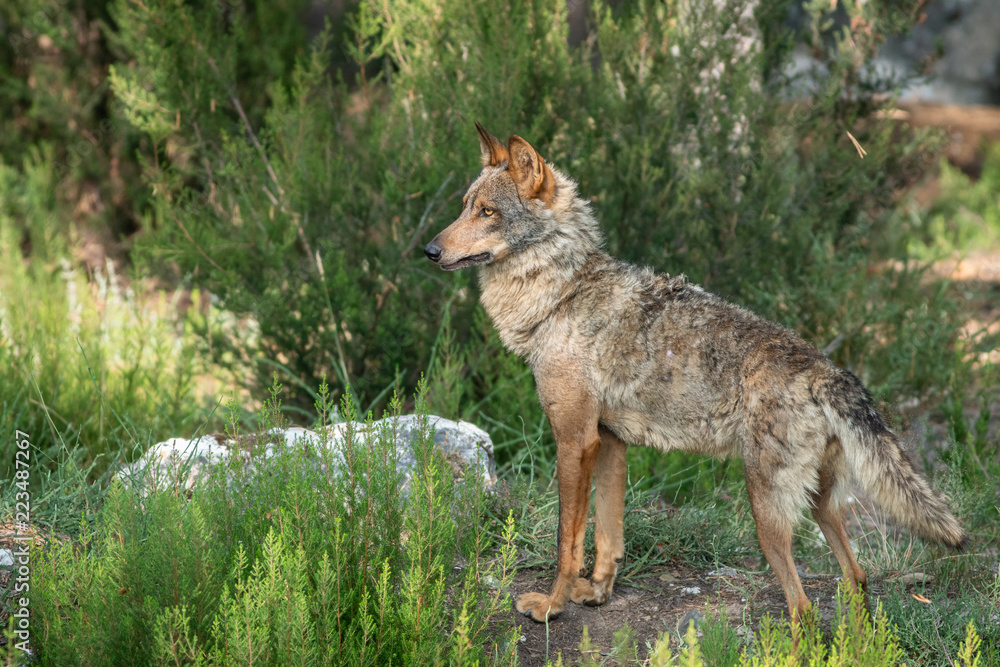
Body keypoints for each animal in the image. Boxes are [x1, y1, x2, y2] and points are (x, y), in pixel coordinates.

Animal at [424, 122, 968, 624]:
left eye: (487, 212)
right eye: (465, 205)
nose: (429, 250)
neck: (561, 294)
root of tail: (828, 372)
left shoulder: (575, 441)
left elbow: (567, 543)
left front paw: (552, 606)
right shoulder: (609, 442)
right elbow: (607, 536)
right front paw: (596, 594)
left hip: (767, 516)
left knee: (804, 608)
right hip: (818, 507)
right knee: (856, 578)